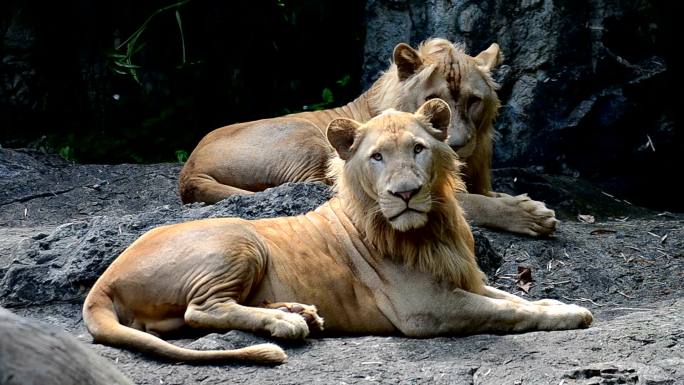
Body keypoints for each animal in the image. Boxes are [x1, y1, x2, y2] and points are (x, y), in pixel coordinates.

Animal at [84, 99, 588, 364]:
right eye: (377, 157)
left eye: (418, 149)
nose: (406, 193)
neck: (433, 227)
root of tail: (102, 281)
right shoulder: (426, 309)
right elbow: (509, 313)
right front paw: (569, 315)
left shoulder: (464, 280)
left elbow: (518, 299)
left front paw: (561, 305)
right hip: (239, 237)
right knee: (201, 311)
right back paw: (286, 323)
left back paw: (300, 312)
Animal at [179, 39, 560, 237]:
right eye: (432, 100)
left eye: (473, 101)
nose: (456, 143)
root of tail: (189, 169)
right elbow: (476, 202)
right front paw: (530, 214)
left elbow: (488, 194)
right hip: (307, 135)